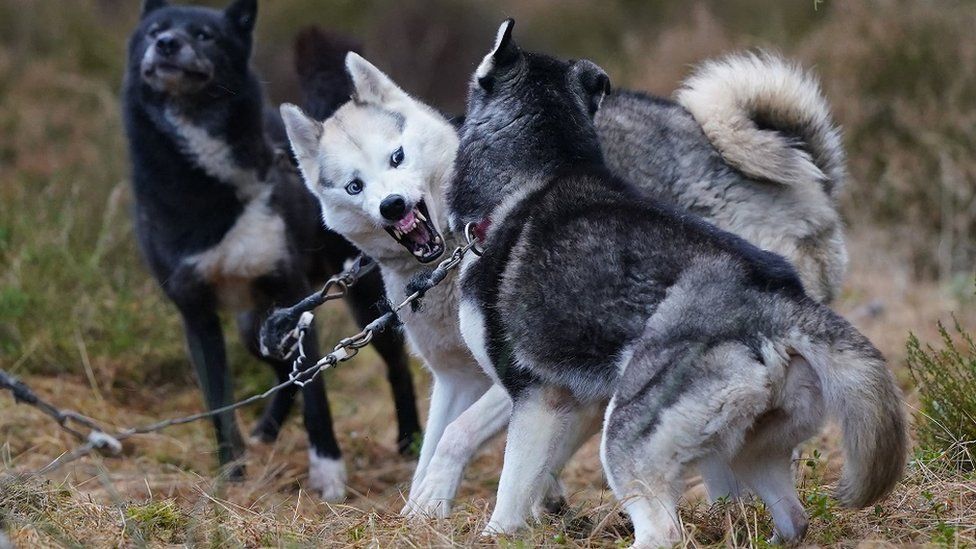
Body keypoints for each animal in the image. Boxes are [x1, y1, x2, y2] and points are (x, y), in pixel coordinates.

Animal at [121, 0, 420, 498]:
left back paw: (410, 440)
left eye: (203, 35)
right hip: (255, 326)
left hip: (362, 299)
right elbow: (219, 404)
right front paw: (230, 475)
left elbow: (318, 397)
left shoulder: (291, 293)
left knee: (394, 365)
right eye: (154, 30)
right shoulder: (197, 315)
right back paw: (266, 430)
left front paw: (328, 472)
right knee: (285, 374)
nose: (165, 44)